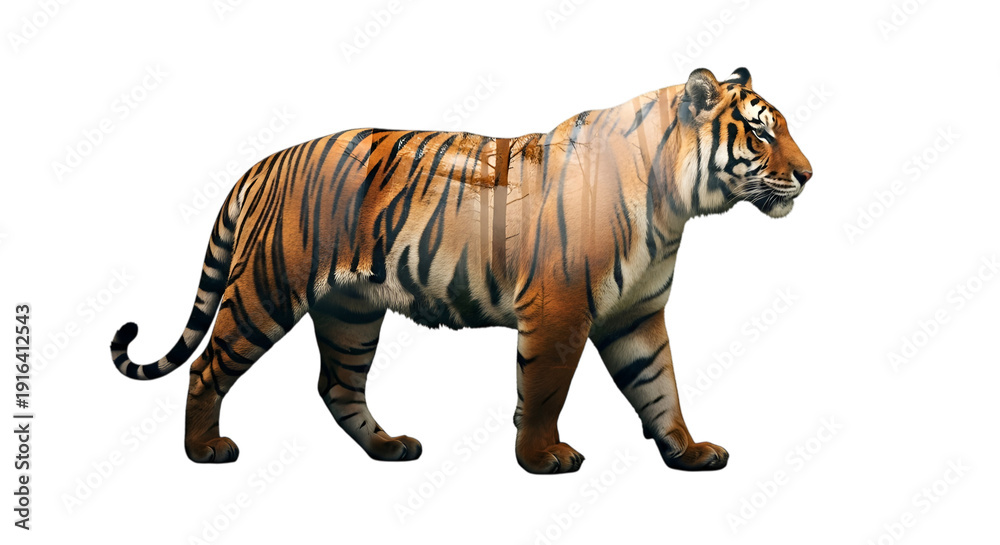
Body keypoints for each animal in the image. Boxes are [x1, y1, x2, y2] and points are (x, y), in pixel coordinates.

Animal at [110, 67, 812, 473]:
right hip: (265, 291)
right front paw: (543, 457)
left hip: (349, 313)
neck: (675, 206)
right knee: (207, 366)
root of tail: (264, 162)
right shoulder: (560, 311)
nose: (809, 174)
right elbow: (544, 391)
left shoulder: (635, 315)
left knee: (338, 386)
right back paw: (204, 450)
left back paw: (389, 448)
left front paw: (689, 452)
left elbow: (660, 387)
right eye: (760, 134)